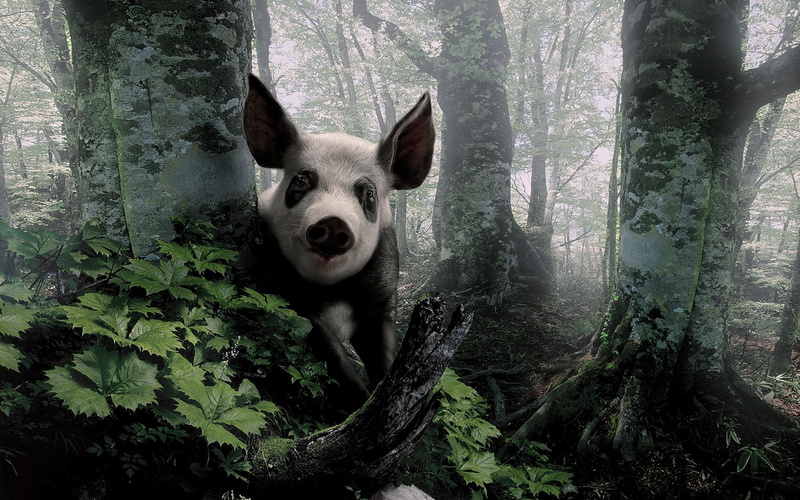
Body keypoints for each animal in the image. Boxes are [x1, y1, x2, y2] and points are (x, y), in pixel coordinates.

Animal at [242, 74, 434, 409]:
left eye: (368, 193)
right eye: (301, 181)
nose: (333, 221)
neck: (335, 291)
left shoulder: (384, 297)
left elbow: (384, 354)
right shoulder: (285, 292)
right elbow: (333, 356)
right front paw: (360, 402)